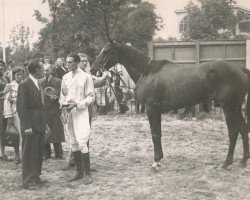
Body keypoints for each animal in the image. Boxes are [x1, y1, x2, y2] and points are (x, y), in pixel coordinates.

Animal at [91, 41, 250, 170]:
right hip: (236, 108)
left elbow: (155, 134)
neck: (148, 72)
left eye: (106, 51)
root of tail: (240, 69)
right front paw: (159, 159)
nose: (93, 70)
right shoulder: (157, 111)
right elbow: (159, 134)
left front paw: (156, 162)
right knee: (243, 129)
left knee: (234, 132)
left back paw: (227, 162)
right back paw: (243, 160)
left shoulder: (152, 110)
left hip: (229, 108)